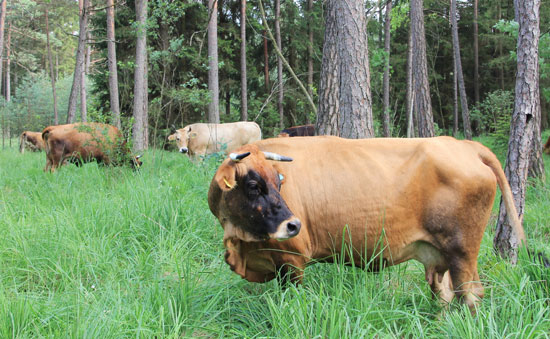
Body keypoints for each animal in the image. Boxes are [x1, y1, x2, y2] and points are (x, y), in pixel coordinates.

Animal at [209, 135, 528, 310]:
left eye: (278, 181)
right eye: (253, 185)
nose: (293, 225)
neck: (242, 243)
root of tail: (464, 145)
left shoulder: (292, 259)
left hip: (462, 250)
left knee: (471, 295)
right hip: (442, 255)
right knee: (445, 295)